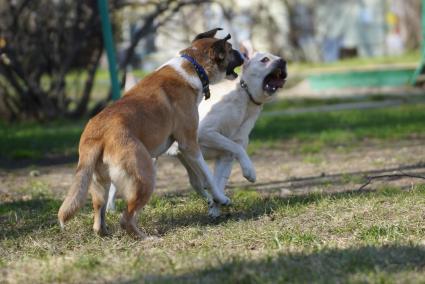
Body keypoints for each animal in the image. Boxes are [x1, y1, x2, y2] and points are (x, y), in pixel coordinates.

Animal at [56, 28, 243, 237]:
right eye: (230, 49)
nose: (243, 55)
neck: (193, 66)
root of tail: (96, 134)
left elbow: (199, 179)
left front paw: (212, 200)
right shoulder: (189, 144)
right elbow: (208, 176)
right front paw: (221, 198)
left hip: (99, 184)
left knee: (99, 219)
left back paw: (106, 232)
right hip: (144, 177)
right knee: (126, 218)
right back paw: (147, 238)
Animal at [106, 47, 286, 216]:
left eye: (279, 57)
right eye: (265, 59)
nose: (283, 61)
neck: (245, 98)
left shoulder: (225, 158)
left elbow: (219, 180)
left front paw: (216, 207)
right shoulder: (206, 133)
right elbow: (237, 148)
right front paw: (249, 171)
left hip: (186, 158)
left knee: (196, 183)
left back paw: (208, 199)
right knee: (115, 184)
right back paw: (110, 208)